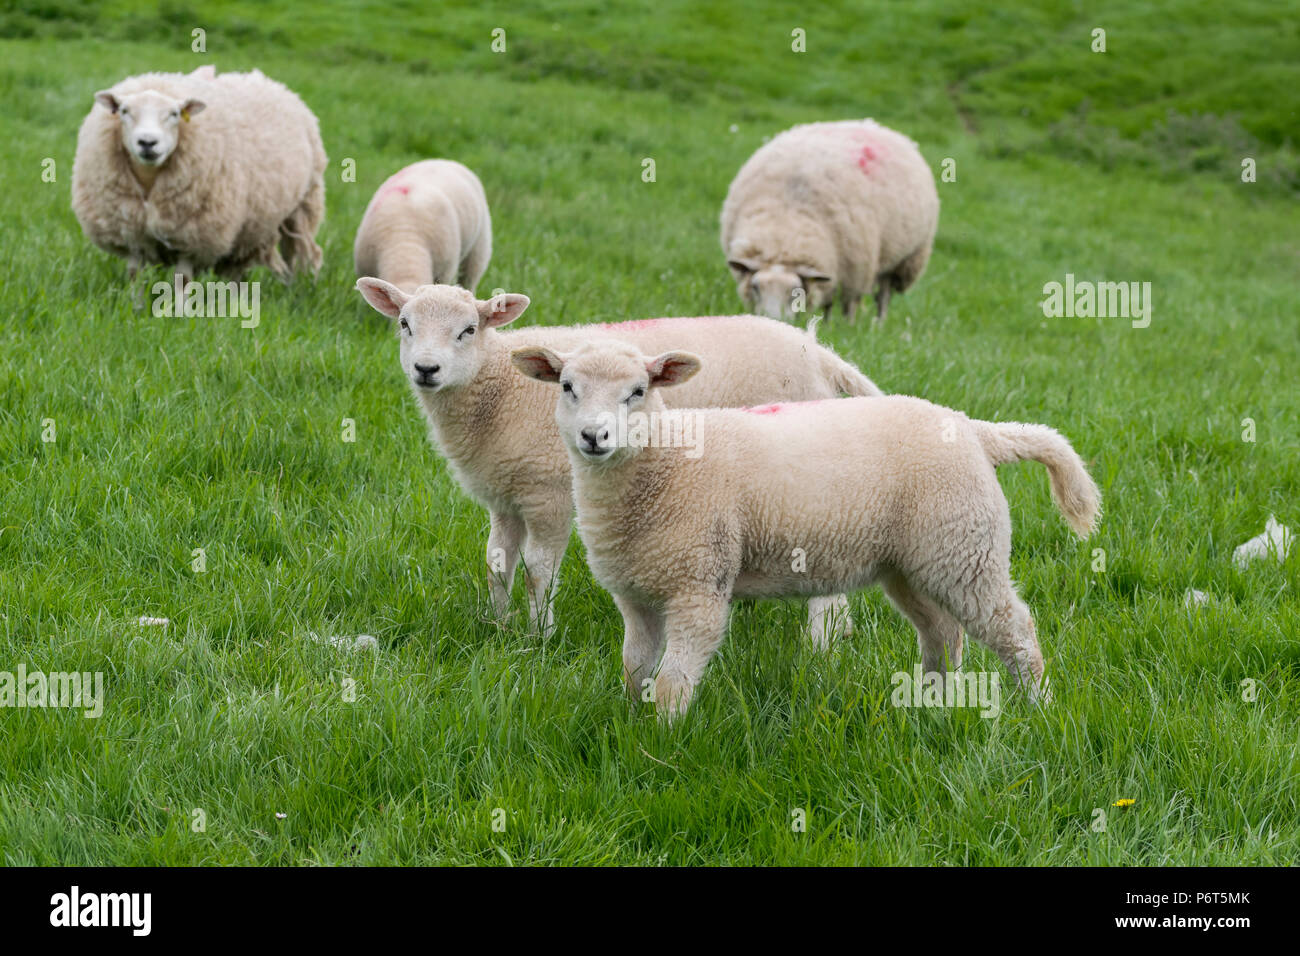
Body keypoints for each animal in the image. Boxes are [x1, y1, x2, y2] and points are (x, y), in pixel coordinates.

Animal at [71, 67, 326, 283]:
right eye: (124, 111)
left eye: (174, 114)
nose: (147, 142)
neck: (149, 180)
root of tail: (274, 84)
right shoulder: (132, 234)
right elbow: (135, 277)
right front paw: (136, 307)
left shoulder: (192, 237)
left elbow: (182, 280)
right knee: (237, 270)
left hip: (302, 205)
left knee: (300, 254)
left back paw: (299, 290)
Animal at [355, 279, 882, 638]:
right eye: (405, 325)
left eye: (467, 330)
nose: (426, 369)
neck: (497, 387)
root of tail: (818, 353)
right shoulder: (504, 496)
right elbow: (496, 563)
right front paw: (498, 626)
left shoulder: (547, 492)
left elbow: (537, 568)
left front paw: (539, 636)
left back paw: (823, 640)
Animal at [514, 341, 1100, 721]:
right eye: (567, 387)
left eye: (637, 391)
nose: (594, 436)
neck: (665, 466)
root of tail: (973, 428)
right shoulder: (636, 594)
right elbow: (635, 667)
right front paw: (632, 723)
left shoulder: (699, 584)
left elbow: (674, 683)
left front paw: (663, 743)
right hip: (912, 561)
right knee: (942, 631)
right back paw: (933, 703)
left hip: (965, 549)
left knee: (1015, 631)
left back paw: (1041, 709)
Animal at [720, 119, 939, 325]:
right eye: (755, 287)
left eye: (795, 291)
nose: (772, 319)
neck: (787, 224)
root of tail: (872, 125)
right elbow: (828, 303)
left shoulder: (854, 272)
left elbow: (849, 304)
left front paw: (847, 326)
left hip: (904, 259)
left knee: (883, 295)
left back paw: (879, 324)